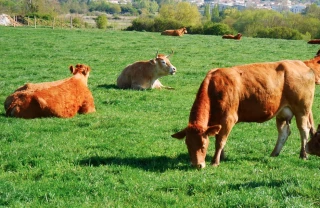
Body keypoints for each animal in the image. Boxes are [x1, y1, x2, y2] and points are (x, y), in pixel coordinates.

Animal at [171, 59, 316, 169]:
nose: (197, 165)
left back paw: (303, 154)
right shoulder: (216, 123)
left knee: (304, 130)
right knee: (284, 132)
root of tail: (302, 64)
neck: (214, 89)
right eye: (188, 145)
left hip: (302, 110)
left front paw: (215, 161)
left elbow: (220, 141)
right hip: (282, 112)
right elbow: (219, 137)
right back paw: (274, 153)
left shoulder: (228, 119)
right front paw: (222, 157)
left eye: (202, 145)